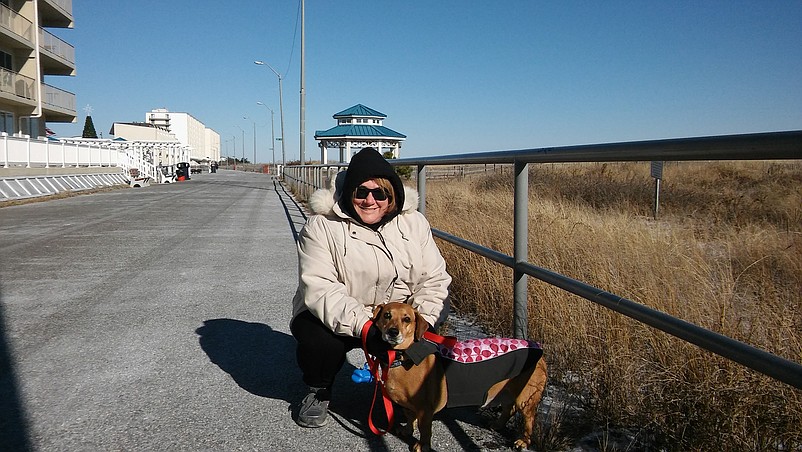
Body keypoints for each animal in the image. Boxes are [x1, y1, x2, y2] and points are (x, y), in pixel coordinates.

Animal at [372, 302, 548, 450]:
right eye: (387, 315)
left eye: (407, 319)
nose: (392, 332)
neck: (402, 357)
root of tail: (538, 349)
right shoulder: (410, 406)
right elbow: (410, 417)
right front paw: (407, 430)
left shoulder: (425, 410)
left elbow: (424, 429)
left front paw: (422, 445)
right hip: (508, 392)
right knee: (508, 409)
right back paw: (498, 424)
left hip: (525, 399)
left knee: (529, 420)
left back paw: (523, 441)